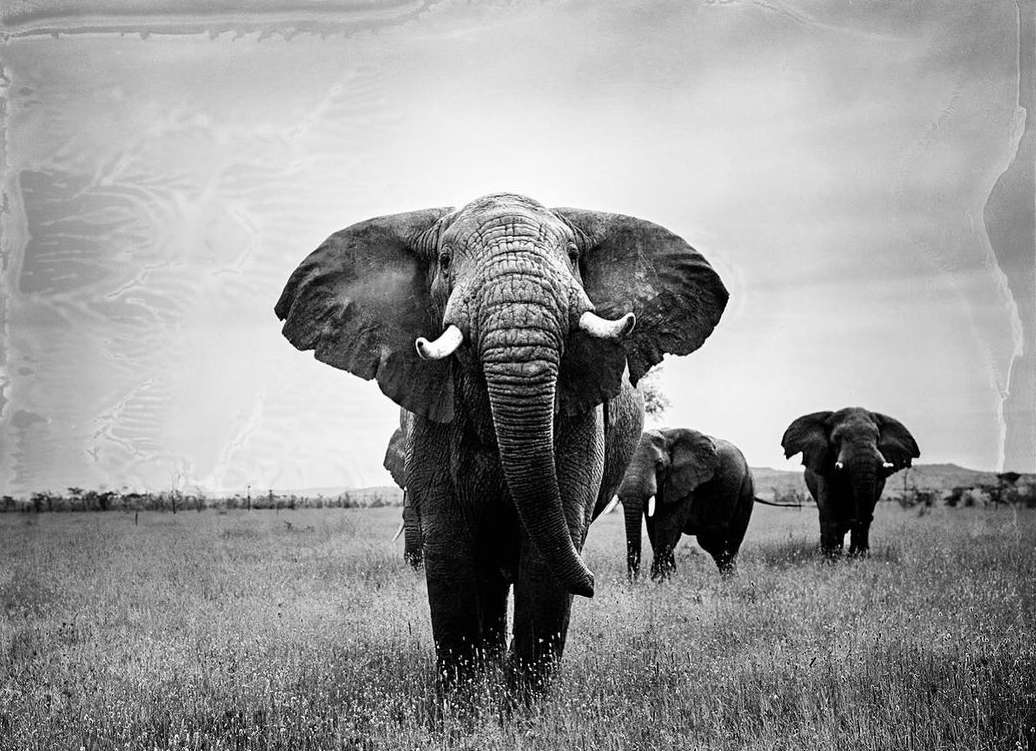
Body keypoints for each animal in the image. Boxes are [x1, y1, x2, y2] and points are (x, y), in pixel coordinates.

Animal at [275, 193, 727, 684]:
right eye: (445, 260)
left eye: (573, 256)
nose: (592, 583)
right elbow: (449, 546)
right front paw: (465, 699)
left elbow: (549, 550)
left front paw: (525, 702)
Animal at [617, 428, 756, 581]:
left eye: (659, 464)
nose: (633, 582)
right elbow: (653, 528)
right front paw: (668, 579)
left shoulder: (685, 481)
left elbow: (667, 526)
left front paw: (659, 580)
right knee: (714, 545)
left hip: (746, 491)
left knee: (728, 544)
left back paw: (732, 582)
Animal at [781, 407, 920, 556]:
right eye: (837, 438)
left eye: (877, 437)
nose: (854, 554)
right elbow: (830, 513)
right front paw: (831, 558)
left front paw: (858, 557)